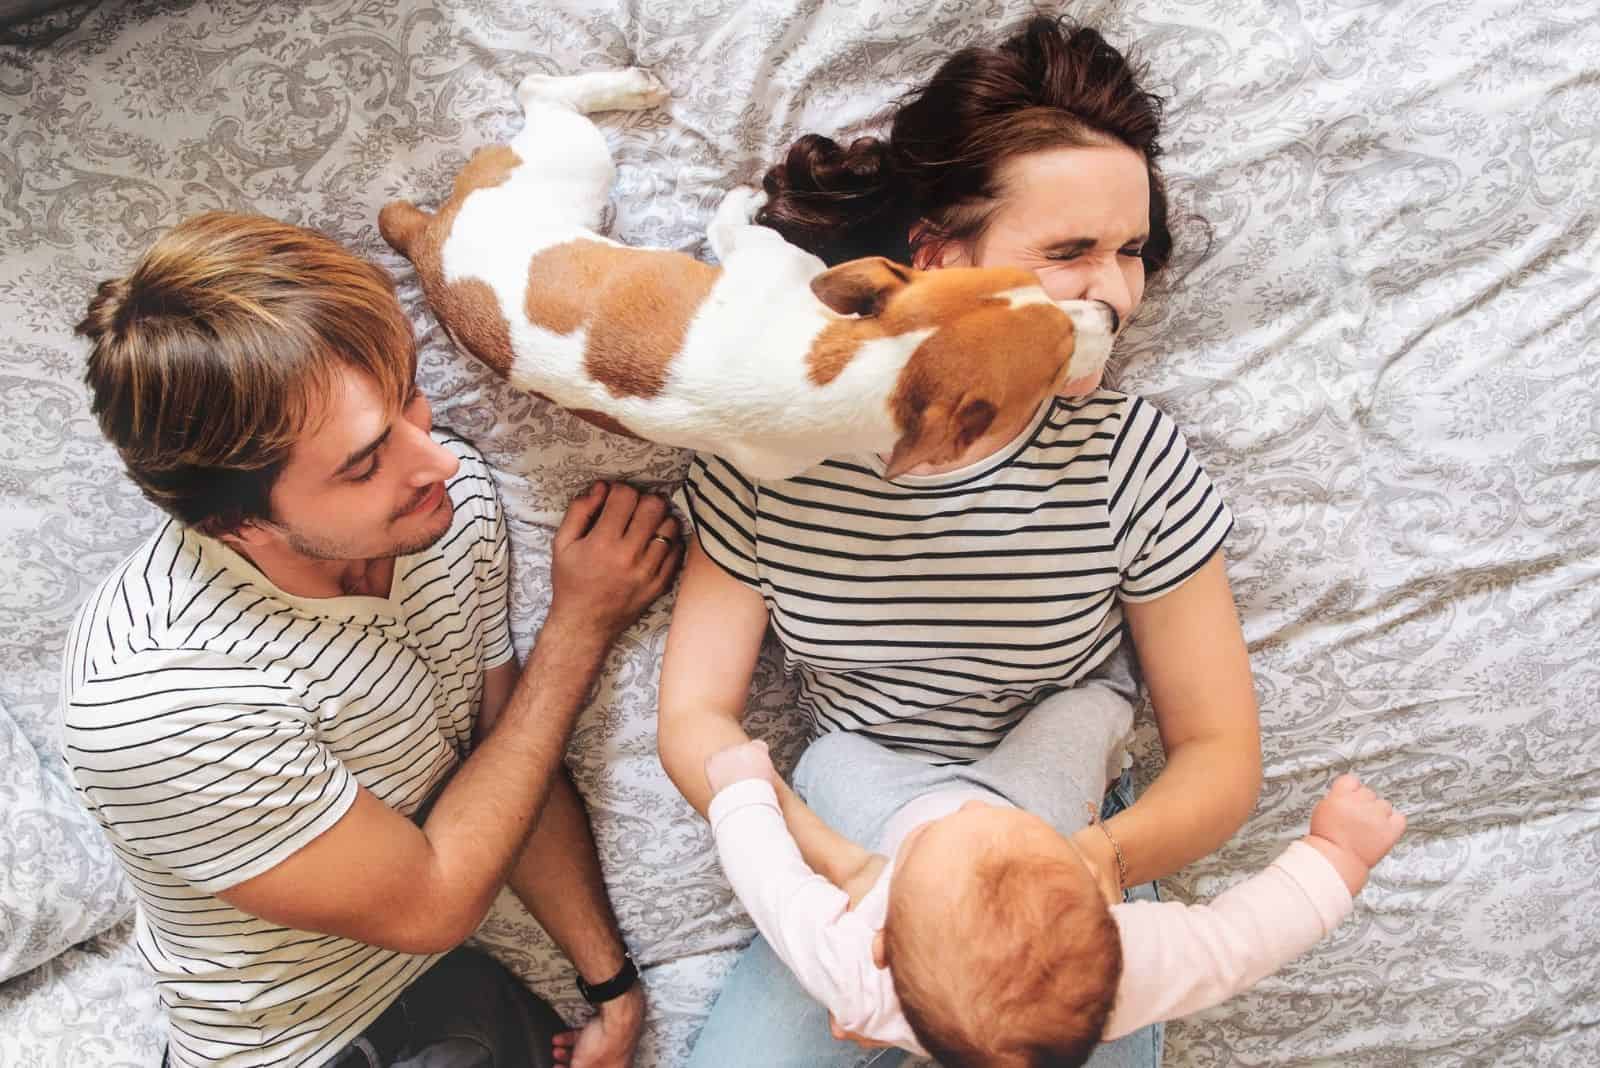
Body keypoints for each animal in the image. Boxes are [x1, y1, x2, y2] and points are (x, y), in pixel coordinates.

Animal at [379, 68, 1120, 476]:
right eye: (1057, 363)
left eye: (1036, 287)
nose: (1111, 314)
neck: (868, 360)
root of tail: (426, 235)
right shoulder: (763, 254)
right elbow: (732, 222)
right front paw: (743, 196)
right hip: (576, 161)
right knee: (539, 93)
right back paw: (625, 85)